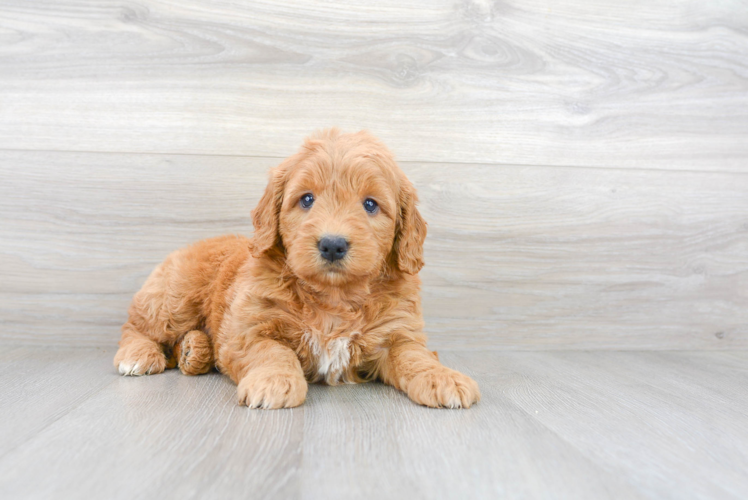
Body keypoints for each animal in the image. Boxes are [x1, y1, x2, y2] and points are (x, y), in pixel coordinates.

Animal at [114, 129, 482, 410]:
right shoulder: (249, 329)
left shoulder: (397, 333)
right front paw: (274, 382)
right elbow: (272, 352)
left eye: (370, 205)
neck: (334, 298)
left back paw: (194, 350)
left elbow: (415, 356)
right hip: (174, 298)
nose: (332, 244)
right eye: (306, 199)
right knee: (137, 326)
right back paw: (139, 355)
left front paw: (443, 377)